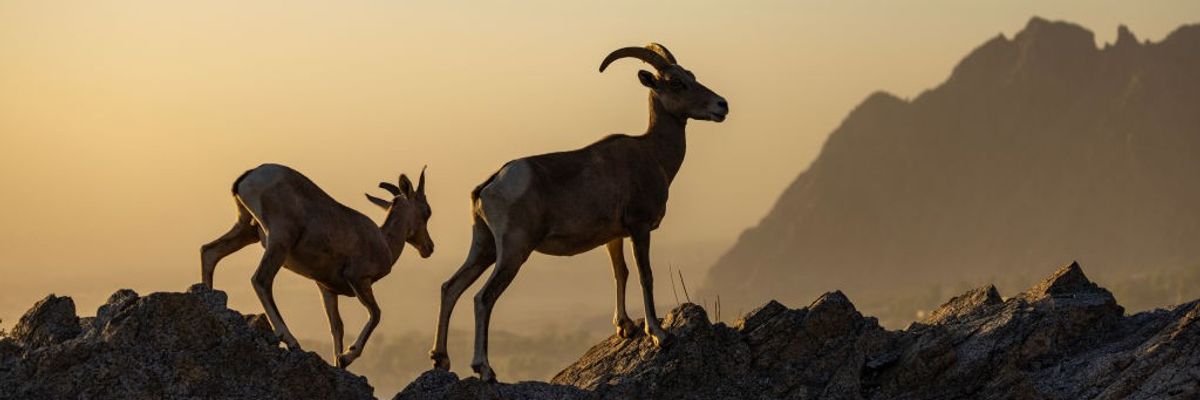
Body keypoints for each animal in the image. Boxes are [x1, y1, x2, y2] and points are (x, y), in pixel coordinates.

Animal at [200, 163, 433, 368]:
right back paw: (291, 341)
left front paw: (339, 362)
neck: (382, 240)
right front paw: (347, 356)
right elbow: (375, 314)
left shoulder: (326, 288)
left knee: (209, 252)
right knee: (261, 280)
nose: (429, 248)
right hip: (278, 241)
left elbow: (337, 326)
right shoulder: (358, 279)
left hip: (246, 230)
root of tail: (250, 174)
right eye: (427, 211)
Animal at [429, 43, 728, 382]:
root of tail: (490, 185)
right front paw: (659, 335)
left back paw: (440, 359)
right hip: (514, 251)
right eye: (676, 82)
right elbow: (645, 275)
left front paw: (625, 326)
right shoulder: (639, 228)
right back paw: (485, 369)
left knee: (451, 287)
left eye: (691, 75)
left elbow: (620, 273)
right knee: (483, 298)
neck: (653, 156)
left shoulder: (614, 237)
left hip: (485, 247)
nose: (721, 105)